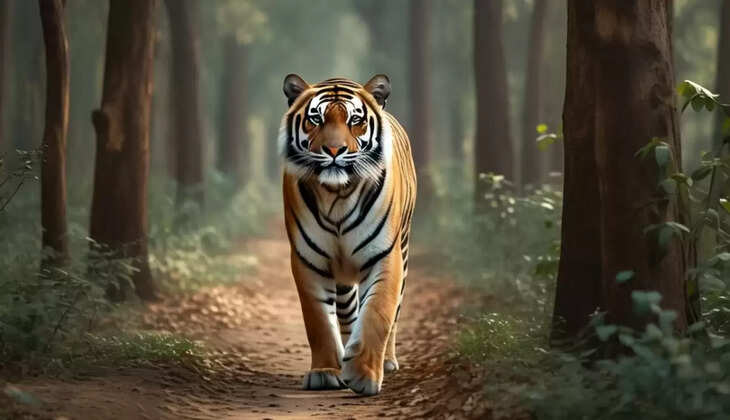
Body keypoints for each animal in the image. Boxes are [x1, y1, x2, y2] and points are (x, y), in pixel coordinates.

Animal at [279, 74, 416, 396]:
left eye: (355, 120)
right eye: (315, 119)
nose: (333, 150)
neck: (337, 194)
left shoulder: (385, 256)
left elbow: (378, 312)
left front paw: (365, 375)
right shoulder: (308, 260)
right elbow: (318, 321)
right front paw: (326, 372)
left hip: (403, 251)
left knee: (393, 314)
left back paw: (386, 361)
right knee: (346, 312)